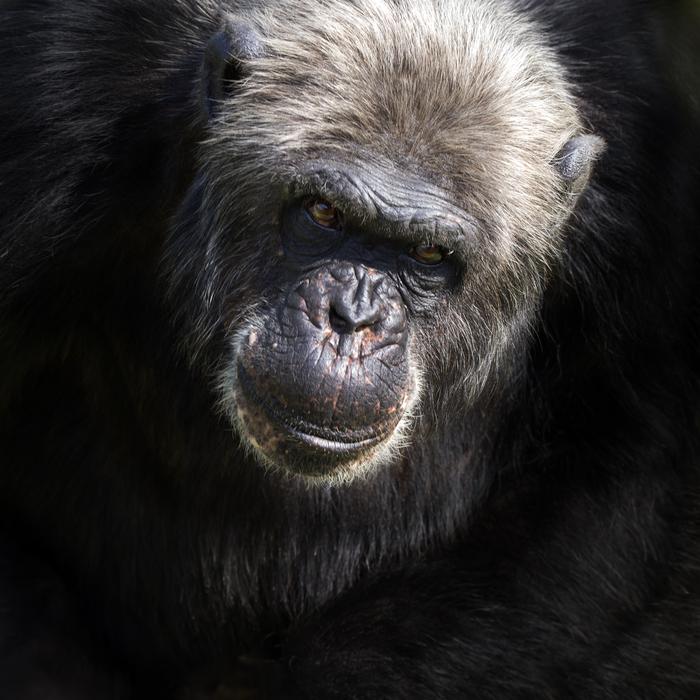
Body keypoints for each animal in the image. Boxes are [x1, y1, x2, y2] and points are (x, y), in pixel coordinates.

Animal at [0, 0, 699, 698]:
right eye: (323, 213)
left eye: (429, 254)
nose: (351, 318)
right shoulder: (46, 124)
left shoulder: (635, 229)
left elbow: (614, 498)